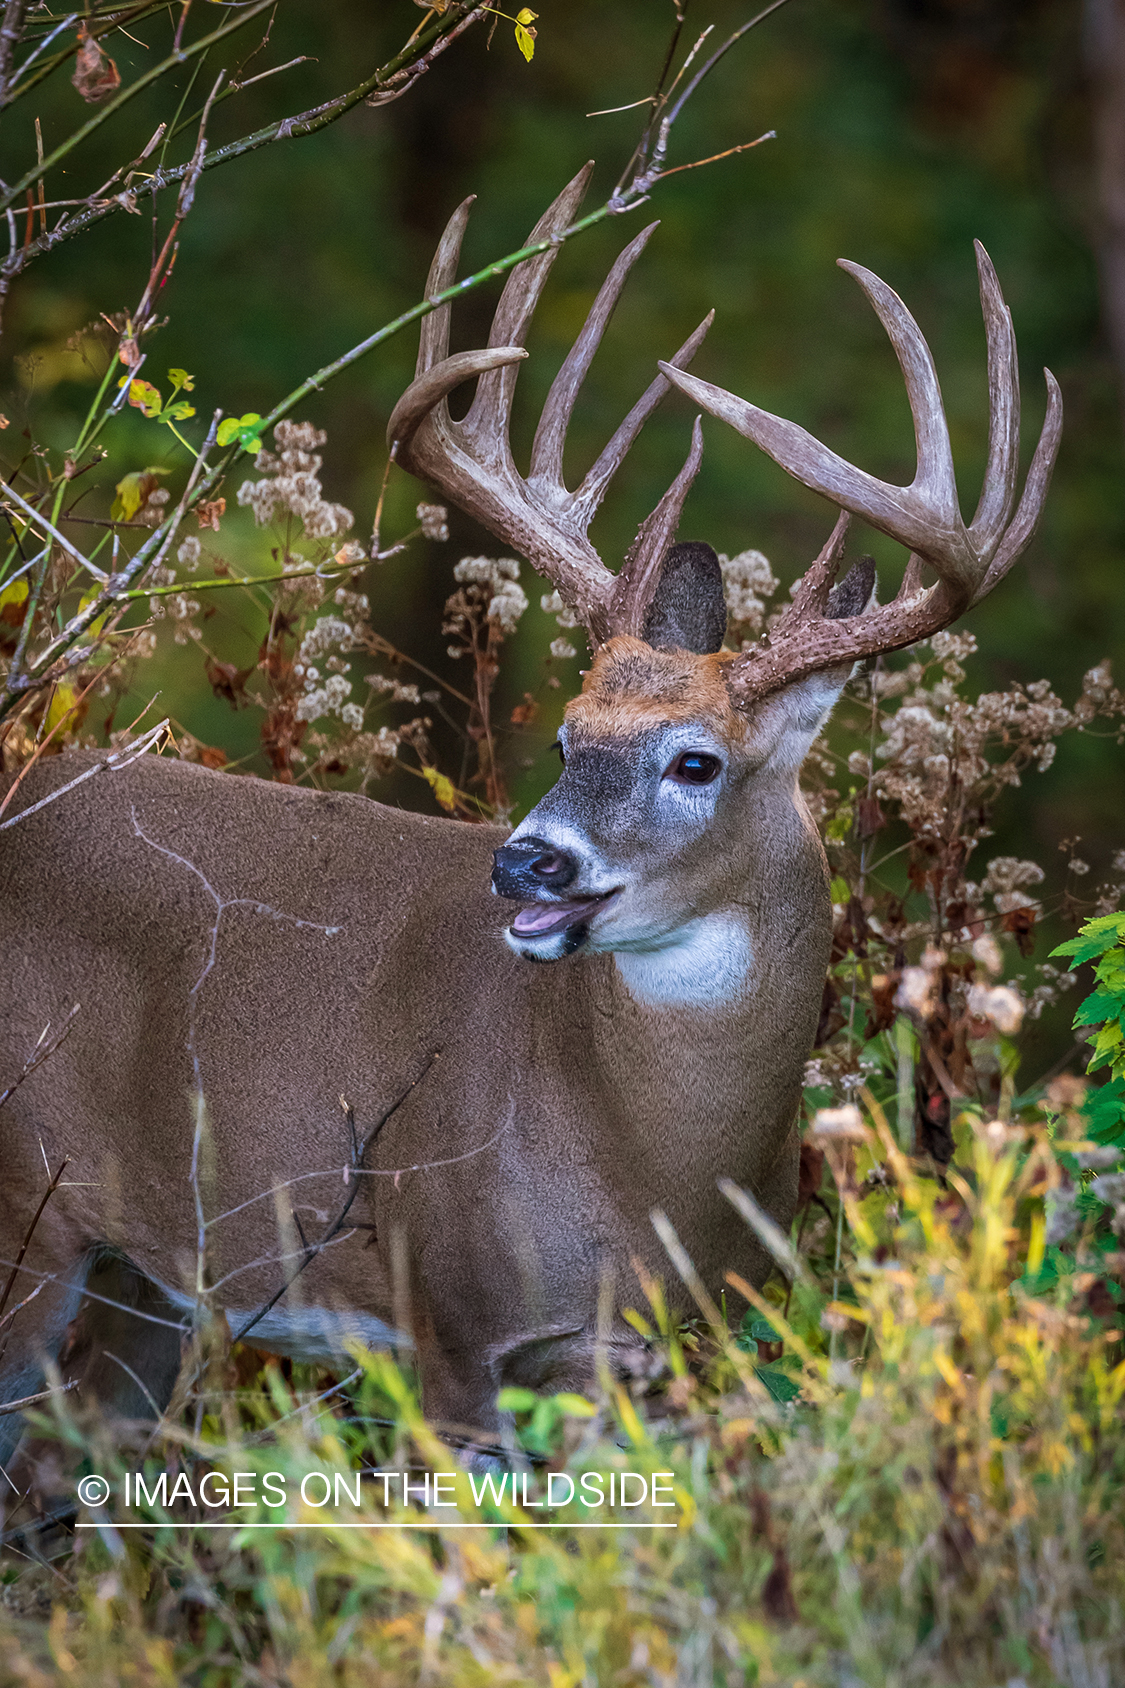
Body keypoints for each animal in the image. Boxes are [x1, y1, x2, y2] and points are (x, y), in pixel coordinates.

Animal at [0, 164, 1054, 1485]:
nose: (525, 859)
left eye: (695, 760)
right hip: (22, 1213)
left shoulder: (673, 1353)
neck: (648, 1171)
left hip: (141, 1273)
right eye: (563, 737)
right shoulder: (446, 1319)